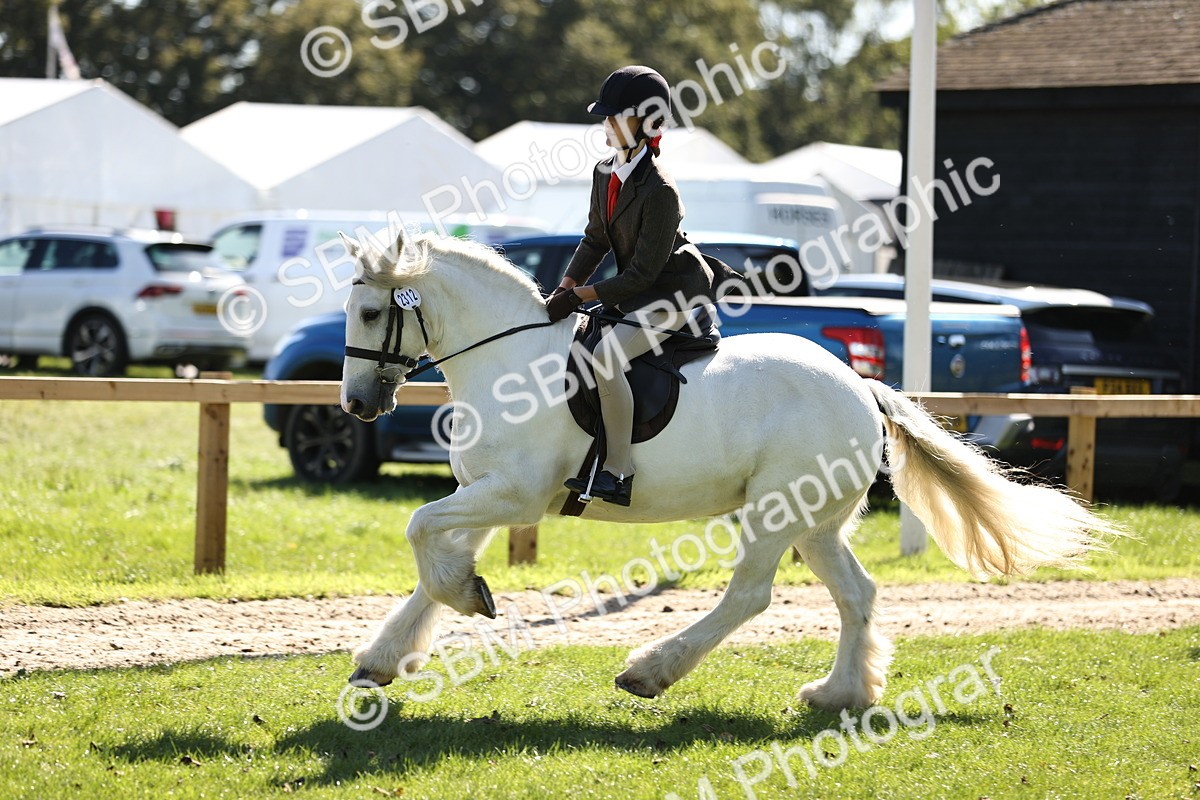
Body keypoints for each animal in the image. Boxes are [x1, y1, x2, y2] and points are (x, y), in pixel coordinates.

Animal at [338, 228, 1120, 712]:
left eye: (373, 312)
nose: (356, 405)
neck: (508, 361)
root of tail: (861, 386)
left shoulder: (514, 495)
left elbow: (418, 530)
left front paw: (465, 603)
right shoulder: (484, 492)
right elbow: (432, 563)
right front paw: (390, 652)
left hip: (776, 513)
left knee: (749, 595)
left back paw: (650, 670)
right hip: (815, 523)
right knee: (856, 593)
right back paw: (839, 694)